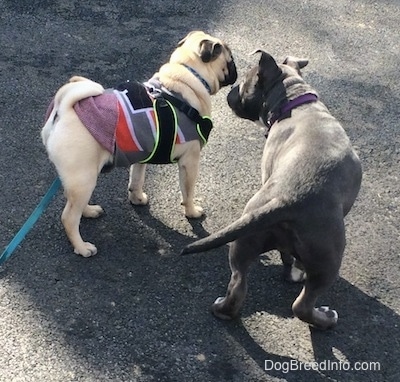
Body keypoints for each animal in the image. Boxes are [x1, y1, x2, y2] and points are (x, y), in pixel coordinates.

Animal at [182, 50, 362, 330]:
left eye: (243, 83)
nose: (230, 89)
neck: (295, 102)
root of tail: (287, 199)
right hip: (328, 260)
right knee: (302, 305)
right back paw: (325, 318)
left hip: (244, 241)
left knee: (238, 282)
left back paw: (223, 308)